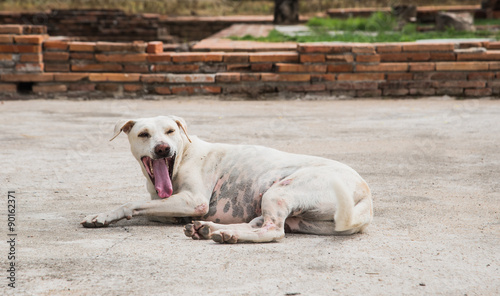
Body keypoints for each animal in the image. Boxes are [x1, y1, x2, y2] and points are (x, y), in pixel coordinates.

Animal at [81, 115, 372, 243]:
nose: (163, 149)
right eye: (143, 134)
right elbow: (149, 207)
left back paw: (225, 233)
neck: (183, 156)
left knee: (273, 231)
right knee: (261, 223)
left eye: (170, 131)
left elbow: (131, 203)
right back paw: (209, 229)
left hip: (280, 192)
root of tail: (365, 194)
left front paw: (103, 216)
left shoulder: (193, 201)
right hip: (294, 215)